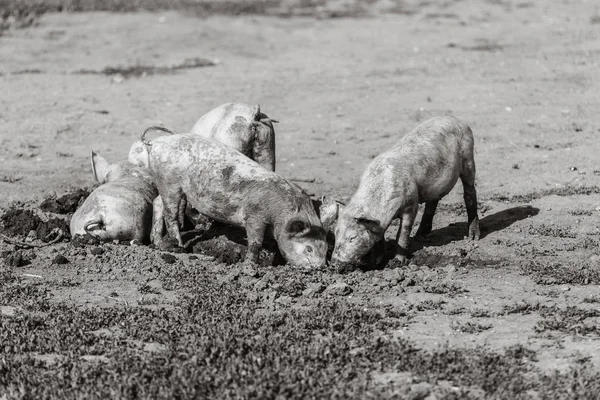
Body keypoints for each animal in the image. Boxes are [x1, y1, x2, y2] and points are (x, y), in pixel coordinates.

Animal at [139, 132, 328, 268]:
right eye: (309, 248)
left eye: (325, 248)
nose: (320, 267)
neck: (280, 215)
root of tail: (156, 143)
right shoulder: (255, 215)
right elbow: (255, 242)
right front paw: (250, 266)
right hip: (170, 182)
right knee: (170, 213)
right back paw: (179, 248)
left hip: (163, 183)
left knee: (157, 202)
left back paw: (157, 242)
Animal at [330, 115, 480, 272]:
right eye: (335, 233)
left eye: (352, 238)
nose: (333, 264)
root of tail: (456, 119)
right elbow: (379, 238)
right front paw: (376, 263)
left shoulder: (411, 204)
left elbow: (402, 233)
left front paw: (397, 262)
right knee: (432, 203)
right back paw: (421, 236)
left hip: (468, 156)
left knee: (469, 192)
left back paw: (473, 237)